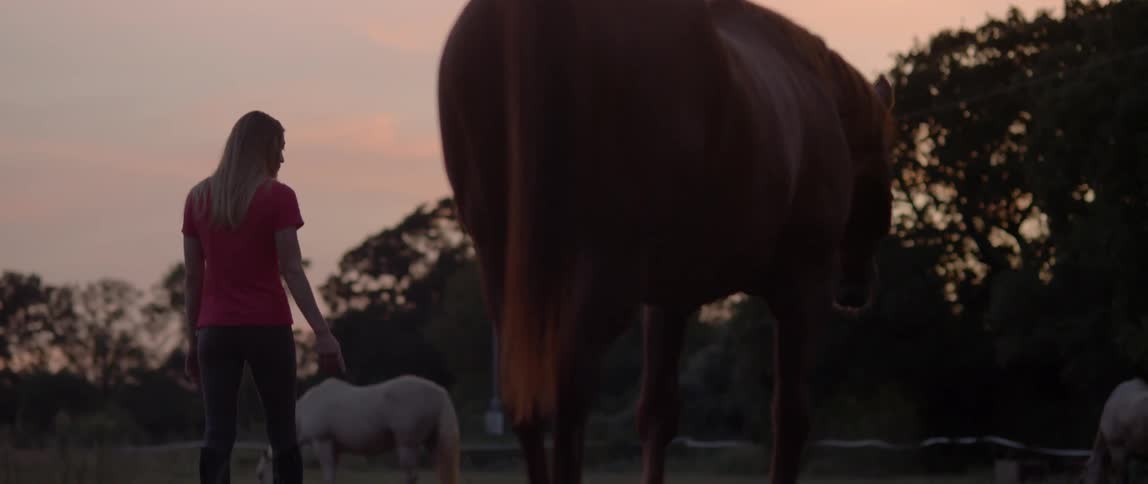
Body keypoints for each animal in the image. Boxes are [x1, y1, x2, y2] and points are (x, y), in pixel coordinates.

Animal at [255, 376, 461, 484]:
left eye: (260, 477)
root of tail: (440, 392)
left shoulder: (323, 442)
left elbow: (328, 476)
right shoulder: (334, 448)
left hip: (407, 445)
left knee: (412, 477)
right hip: (432, 444)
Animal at [436, 0, 896, 482]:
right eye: (887, 161)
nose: (855, 285)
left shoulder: (668, 299)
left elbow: (657, 414)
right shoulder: (801, 289)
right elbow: (791, 415)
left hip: (504, 266)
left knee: (527, 397)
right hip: (605, 273)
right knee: (569, 390)